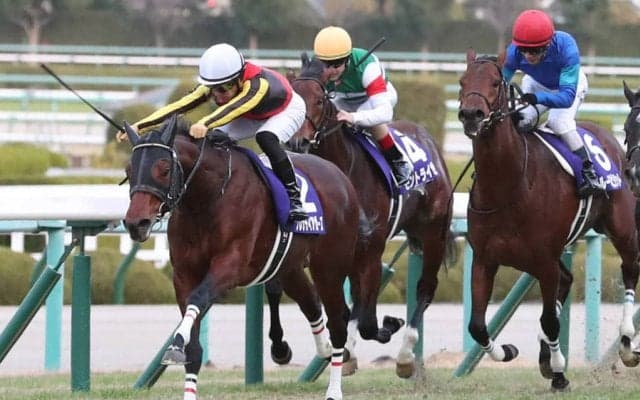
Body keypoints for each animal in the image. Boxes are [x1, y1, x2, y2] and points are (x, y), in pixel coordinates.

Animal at [122, 115, 371, 400]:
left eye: (163, 168)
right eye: (129, 170)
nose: (136, 223)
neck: (208, 198)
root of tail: (339, 177)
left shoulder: (230, 266)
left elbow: (198, 300)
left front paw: (177, 341)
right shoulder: (184, 274)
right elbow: (193, 346)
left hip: (329, 267)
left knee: (338, 322)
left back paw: (334, 388)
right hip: (289, 267)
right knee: (310, 302)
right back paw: (320, 350)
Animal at [287, 54, 457, 378]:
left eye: (318, 101)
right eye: (293, 100)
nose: (296, 144)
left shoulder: (370, 247)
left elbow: (364, 317)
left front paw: (384, 329)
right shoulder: (338, 252)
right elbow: (348, 309)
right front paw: (350, 350)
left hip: (432, 233)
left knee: (425, 288)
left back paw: (405, 356)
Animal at [458, 48, 640, 391]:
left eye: (494, 82)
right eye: (462, 81)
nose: (471, 114)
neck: (509, 184)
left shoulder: (544, 259)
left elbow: (551, 320)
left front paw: (559, 371)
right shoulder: (485, 259)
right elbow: (477, 326)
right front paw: (510, 351)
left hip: (621, 229)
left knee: (630, 269)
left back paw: (625, 343)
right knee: (565, 282)